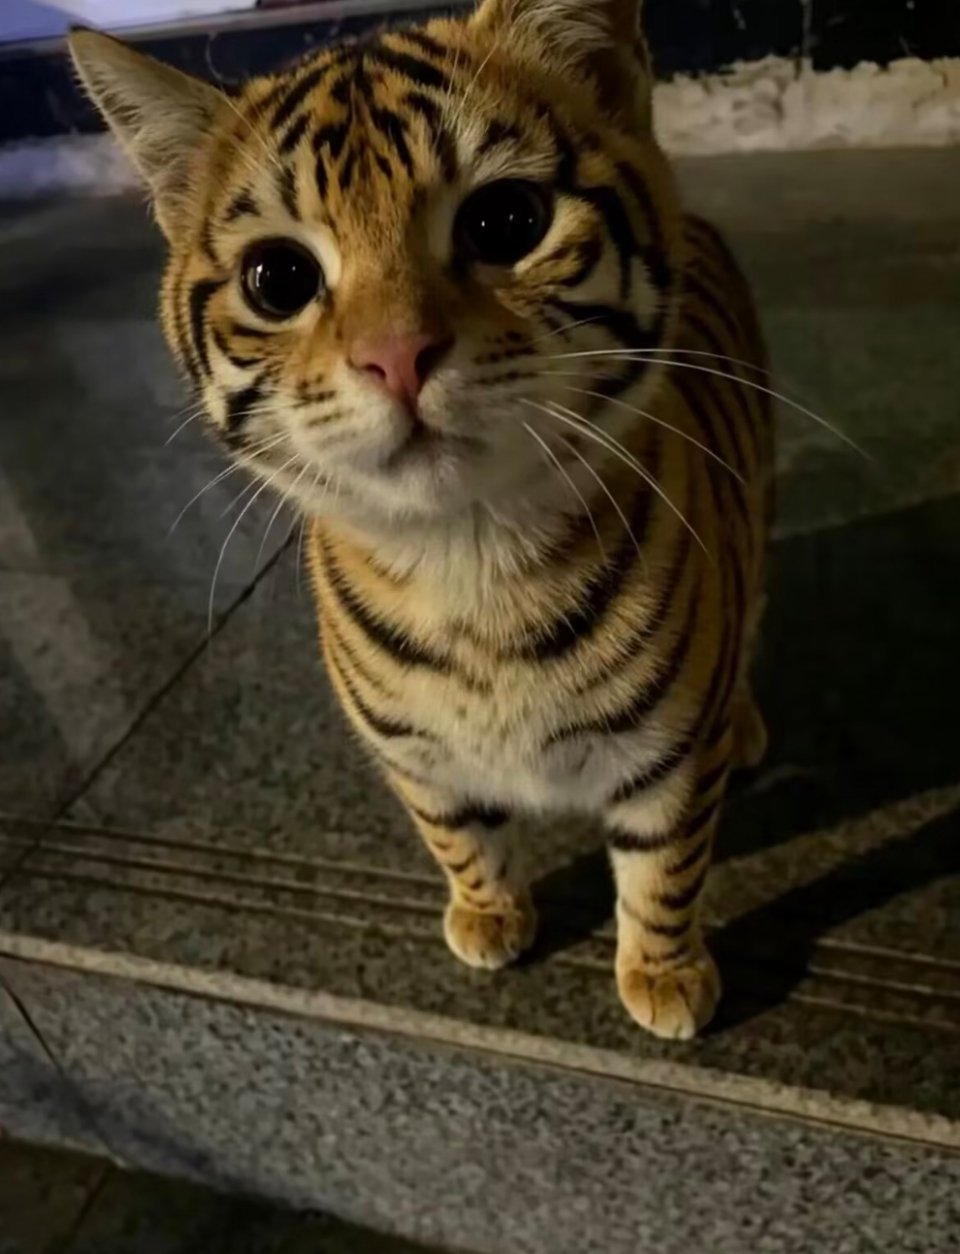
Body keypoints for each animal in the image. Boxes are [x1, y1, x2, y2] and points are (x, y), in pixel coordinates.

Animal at [69, 0, 773, 1040]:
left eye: (506, 221)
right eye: (278, 278)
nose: (397, 355)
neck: (467, 556)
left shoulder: (669, 761)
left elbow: (665, 872)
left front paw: (665, 975)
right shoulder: (413, 756)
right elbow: (456, 836)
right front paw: (487, 917)